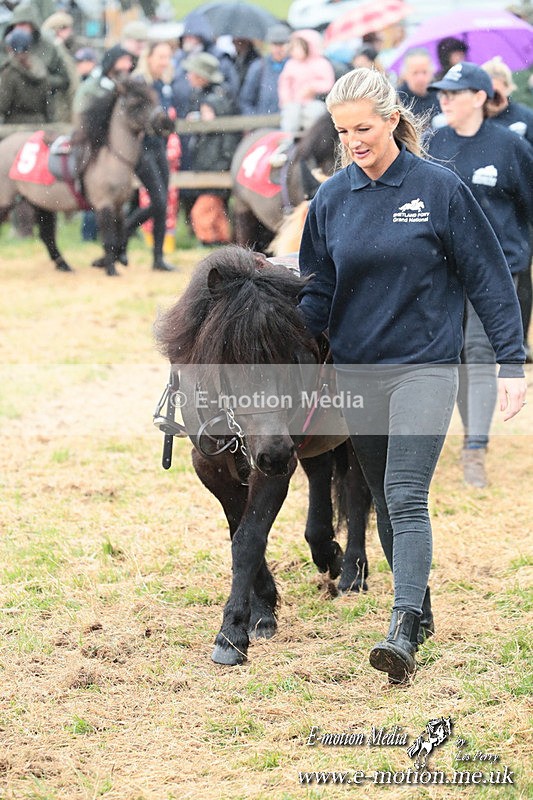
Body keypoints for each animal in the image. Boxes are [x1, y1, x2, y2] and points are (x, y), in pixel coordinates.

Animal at [0, 79, 157, 276]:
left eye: (152, 99)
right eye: (134, 104)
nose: (165, 121)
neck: (108, 158)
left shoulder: (119, 205)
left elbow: (120, 235)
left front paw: (112, 260)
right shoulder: (104, 204)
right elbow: (109, 239)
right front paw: (110, 269)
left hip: (41, 202)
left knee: (47, 236)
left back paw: (64, 266)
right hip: (6, 201)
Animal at [155, 245, 371, 666]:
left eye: (293, 356)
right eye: (230, 357)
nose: (273, 452)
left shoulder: (273, 468)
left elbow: (249, 538)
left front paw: (231, 633)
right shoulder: (211, 466)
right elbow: (237, 530)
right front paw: (262, 610)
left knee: (356, 490)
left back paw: (352, 572)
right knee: (320, 474)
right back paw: (327, 552)